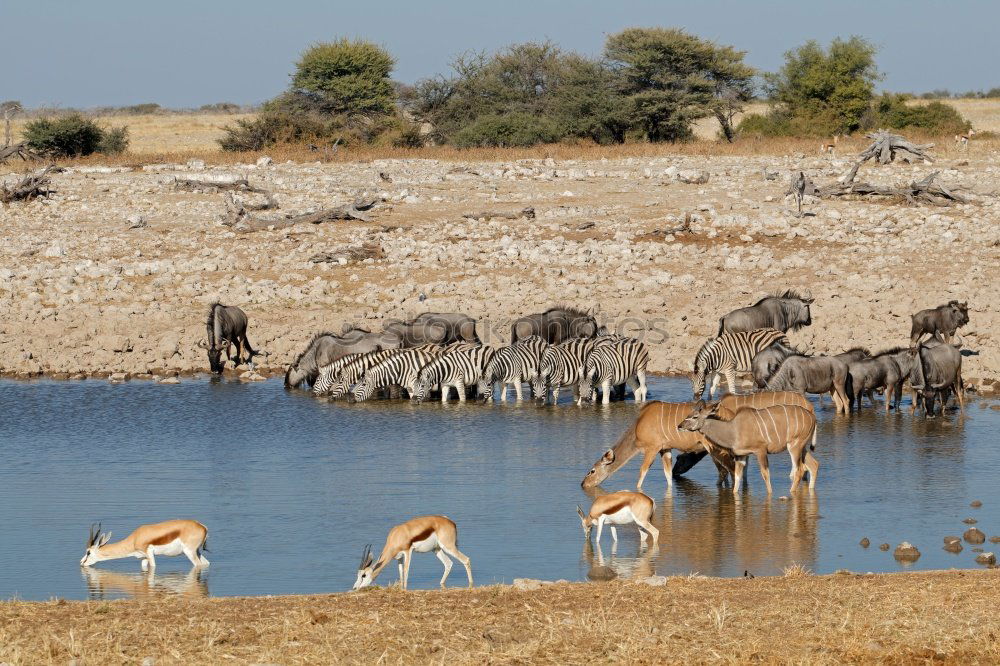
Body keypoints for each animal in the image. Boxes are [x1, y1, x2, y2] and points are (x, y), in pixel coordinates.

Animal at [79, 520, 209, 572]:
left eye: (88, 552)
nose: (81, 563)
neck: (134, 538)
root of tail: (203, 527)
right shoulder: (143, 558)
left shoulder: (149, 554)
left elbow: (153, 567)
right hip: (197, 552)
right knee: (206, 564)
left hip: (189, 552)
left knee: (198, 565)